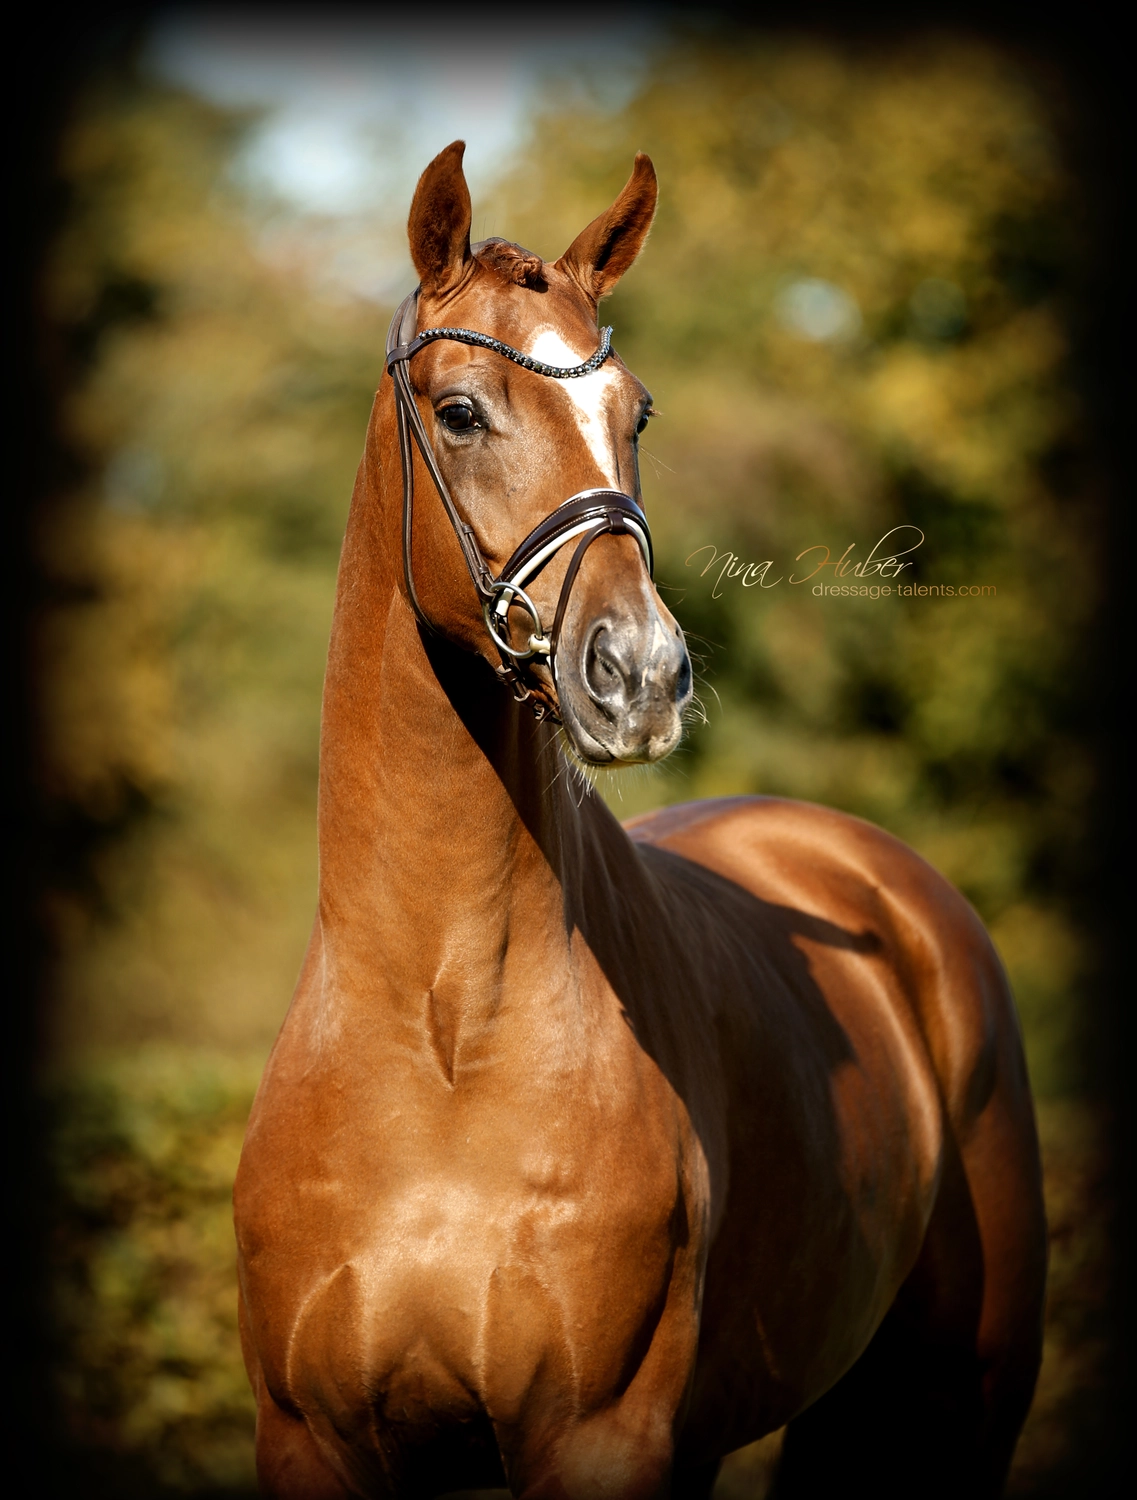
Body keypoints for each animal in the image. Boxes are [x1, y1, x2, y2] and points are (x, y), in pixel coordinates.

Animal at [233, 141, 1047, 1500]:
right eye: (461, 412)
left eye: (636, 413)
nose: (643, 674)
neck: (441, 1033)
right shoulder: (314, 1446)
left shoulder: (601, 1441)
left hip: (956, 1402)